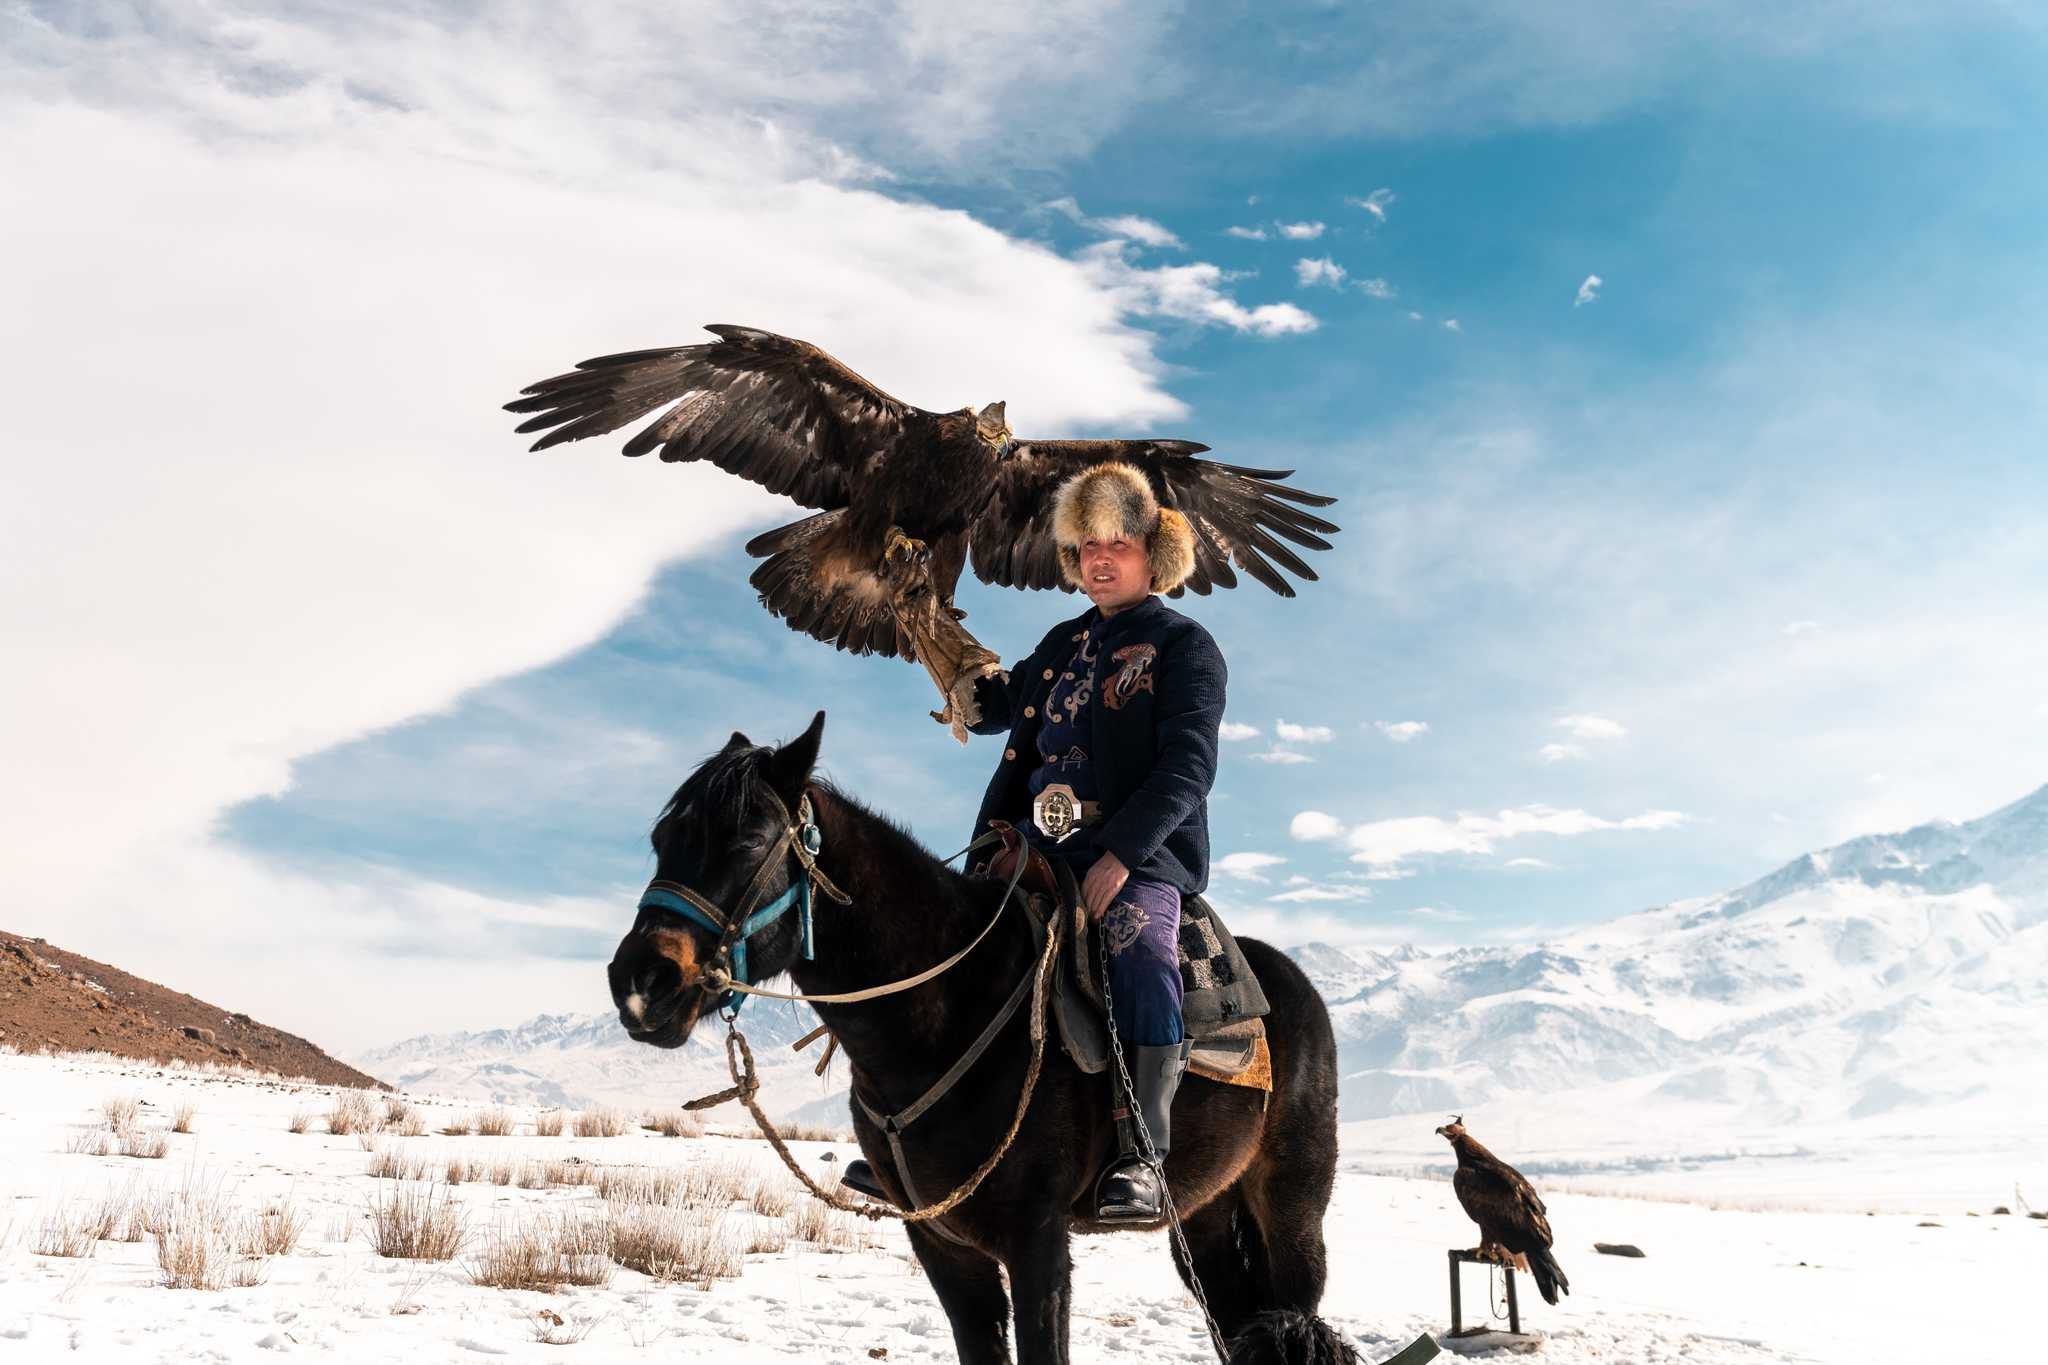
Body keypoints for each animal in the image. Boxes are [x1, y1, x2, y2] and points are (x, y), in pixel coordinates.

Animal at [602, 716, 1343, 1365]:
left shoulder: (1038, 1244)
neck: (946, 1010)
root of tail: (1292, 987)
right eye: (663, 837)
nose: (641, 981)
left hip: (1290, 1204)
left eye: (753, 840)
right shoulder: (942, 1247)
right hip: (1205, 1209)